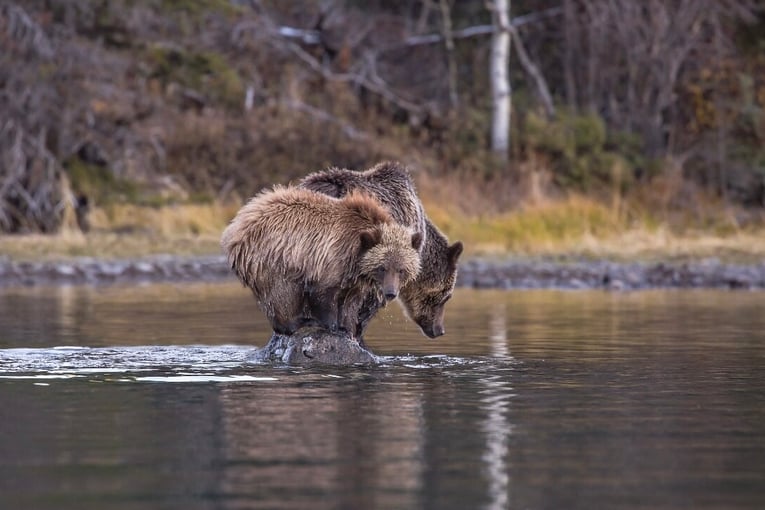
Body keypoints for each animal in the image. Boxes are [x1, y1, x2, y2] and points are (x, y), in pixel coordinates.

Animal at [219, 185, 424, 336]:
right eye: (382, 268)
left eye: (401, 270)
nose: (390, 293)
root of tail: (236, 227)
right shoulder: (329, 257)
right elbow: (323, 294)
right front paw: (332, 326)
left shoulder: (354, 276)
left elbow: (351, 301)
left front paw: (348, 328)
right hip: (273, 257)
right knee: (282, 292)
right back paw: (296, 322)